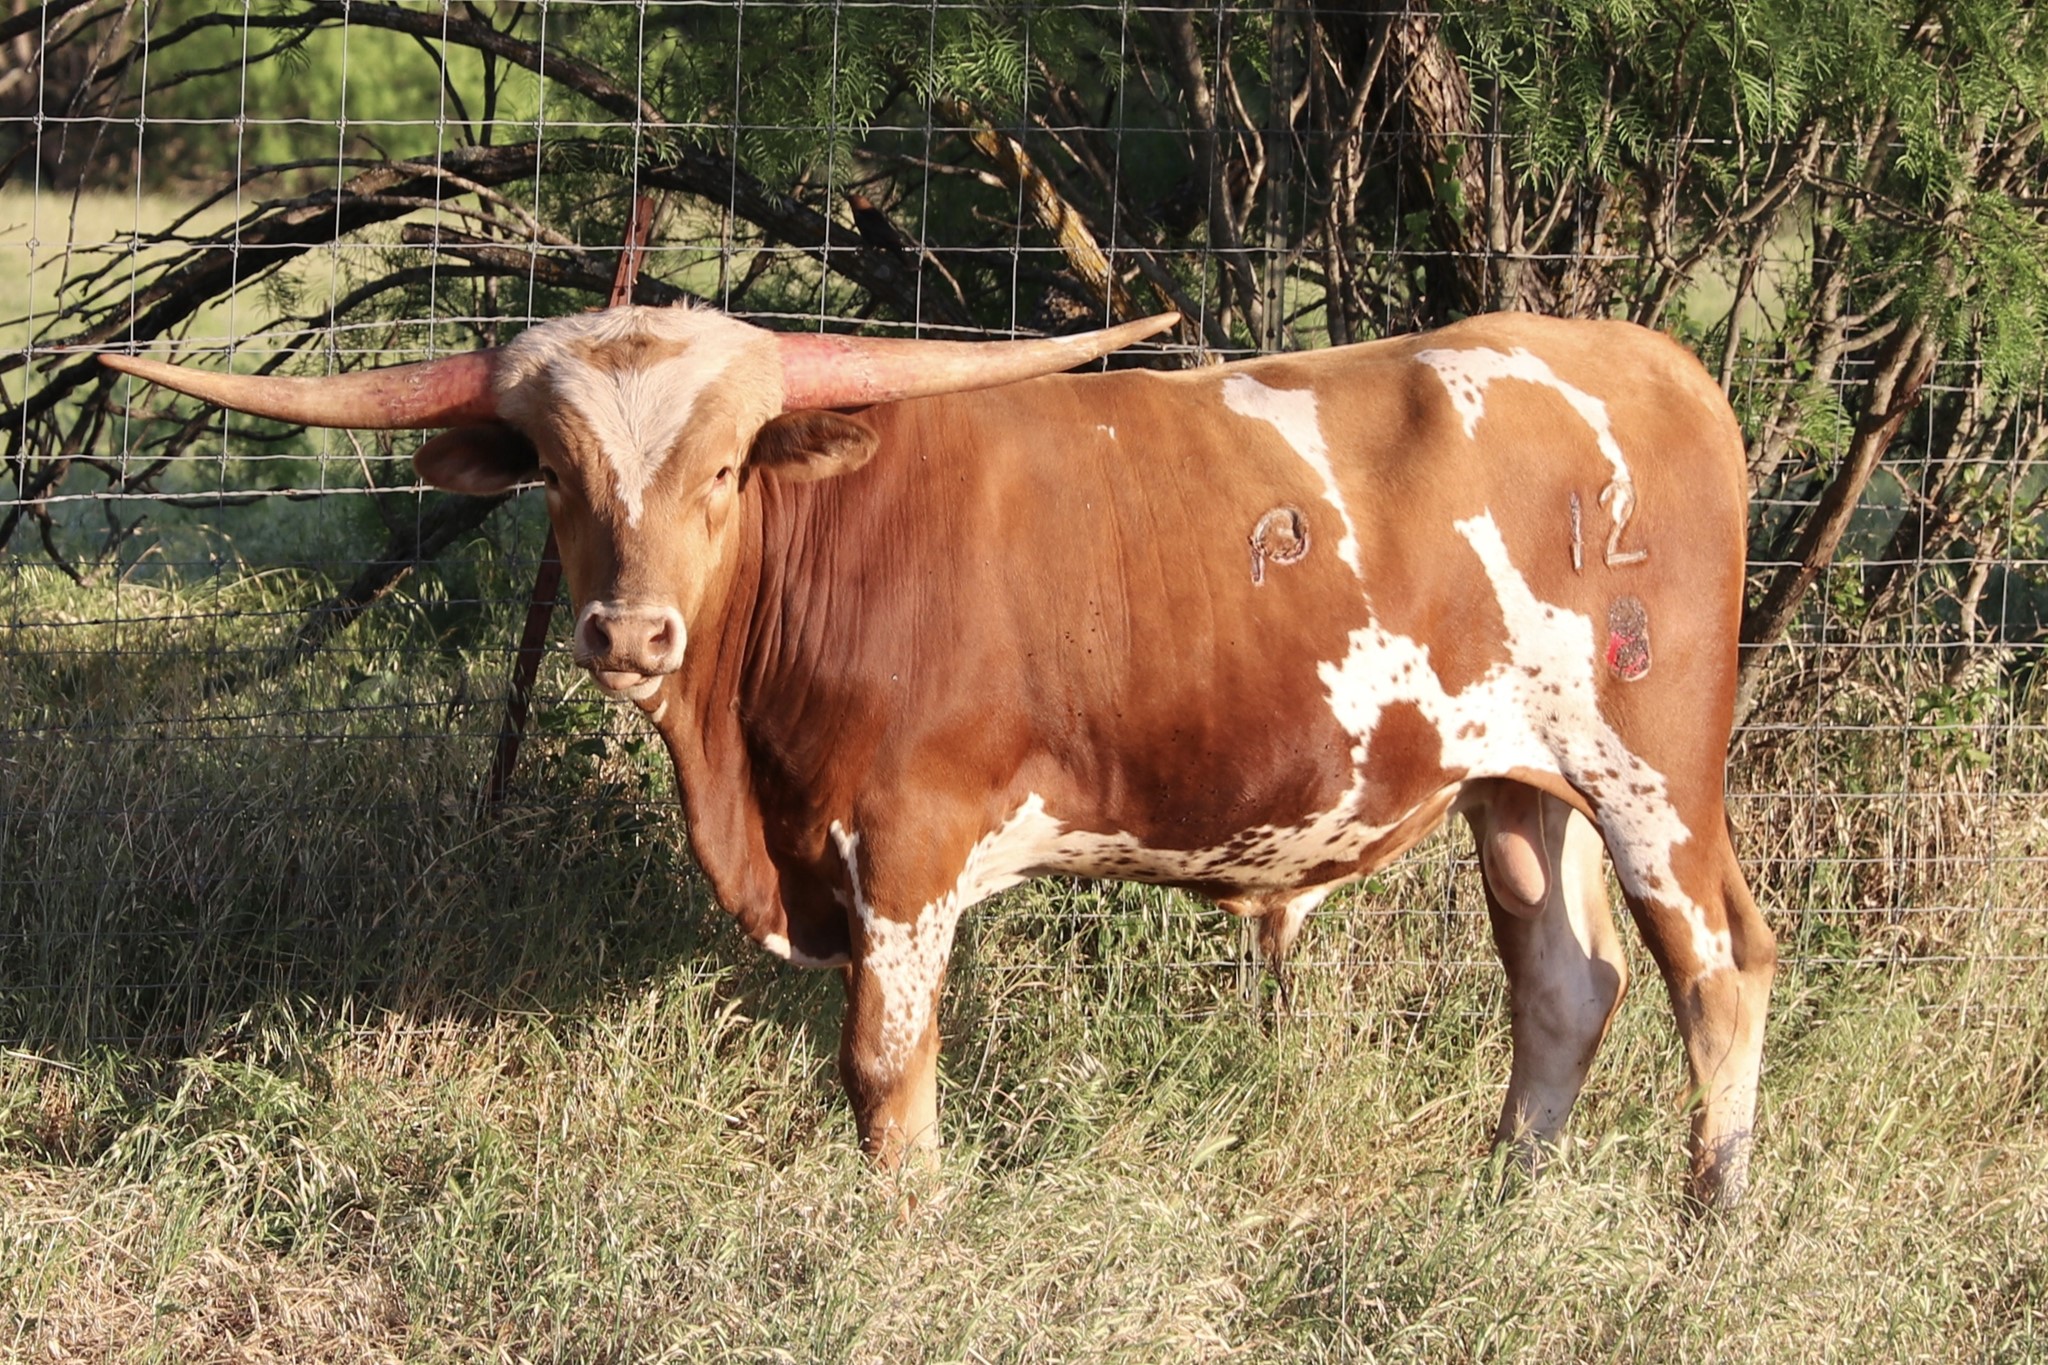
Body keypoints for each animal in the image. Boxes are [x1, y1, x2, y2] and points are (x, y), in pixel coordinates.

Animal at [102, 303, 1775, 1206]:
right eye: (560, 474)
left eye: (725, 465)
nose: (629, 634)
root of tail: (1650, 361)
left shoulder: (905, 849)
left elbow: (883, 1072)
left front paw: (906, 1228)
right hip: (1518, 785)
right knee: (1562, 988)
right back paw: (1504, 1194)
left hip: (1652, 779)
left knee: (1719, 974)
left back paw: (1708, 1216)